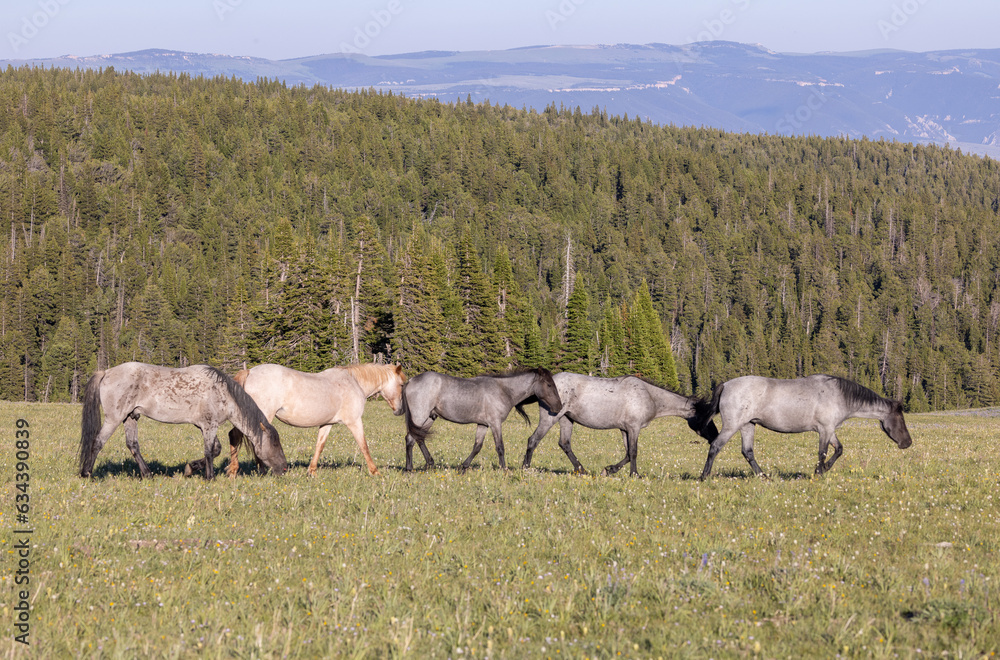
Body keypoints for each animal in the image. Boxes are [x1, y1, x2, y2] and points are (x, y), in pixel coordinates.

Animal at [79, 362, 287, 480]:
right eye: (275, 444)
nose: (285, 468)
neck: (222, 393)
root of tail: (106, 372)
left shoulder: (204, 426)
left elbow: (215, 450)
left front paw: (190, 468)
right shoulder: (209, 426)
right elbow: (209, 452)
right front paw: (210, 477)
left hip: (130, 417)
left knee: (133, 445)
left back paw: (147, 475)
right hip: (114, 419)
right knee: (97, 442)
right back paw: (86, 473)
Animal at [186, 363, 406, 477]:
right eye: (402, 384)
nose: (400, 410)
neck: (353, 383)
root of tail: (250, 372)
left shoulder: (327, 424)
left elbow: (319, 446)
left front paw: (312, 471)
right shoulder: (354, 422)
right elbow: (364, 446)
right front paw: (375, 471)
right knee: (243, 436)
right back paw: (246, 469)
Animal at [401, 368, 563, 472]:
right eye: (549, 384)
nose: (559, 407)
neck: (503, 391)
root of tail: (410, 381)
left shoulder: (483, 424)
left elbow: (477, 447)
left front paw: (463, 467)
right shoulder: (495, 423)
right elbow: (500, 447)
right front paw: (504, 470)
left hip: (429, 418)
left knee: (419, 438)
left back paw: (429, 463)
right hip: (420, 416)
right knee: (410, 438)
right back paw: (409, 469)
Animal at [520, 372, 719, 477]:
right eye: (708, 418)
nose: (715, 436)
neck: (649, 396)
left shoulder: (625, 429)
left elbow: (627, 454)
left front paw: (610, 469)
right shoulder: (633, 428)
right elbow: (634, 452)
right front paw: (634, 475)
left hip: (566, 419)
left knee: (565, 444)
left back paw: (581, 469)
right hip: (550, 418)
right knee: (533, 440)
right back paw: (525, 468)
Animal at [690, 374, 913, 479]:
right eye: (900, 419)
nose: (908, 442)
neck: (839, 395)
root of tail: (726, 385)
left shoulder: (829, 430)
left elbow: (838, 450)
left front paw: (823, 470)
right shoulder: (824, 430)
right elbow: (823, 453)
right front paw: (819, 472)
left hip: (747, 426)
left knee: (748, 452)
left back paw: (764, 477)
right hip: (732, 426)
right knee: (715, 447)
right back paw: (704, 476)